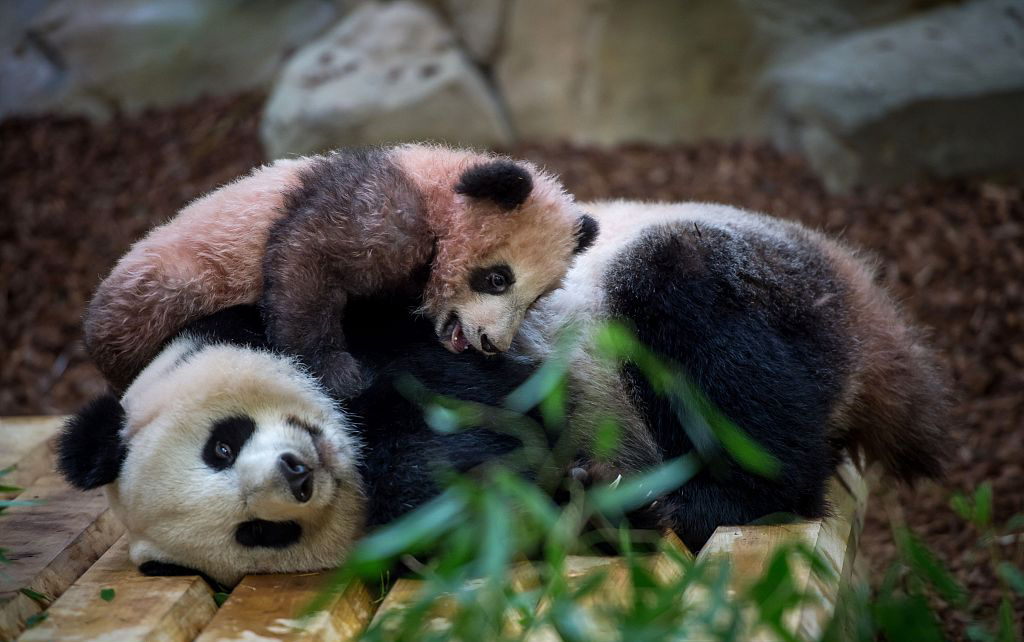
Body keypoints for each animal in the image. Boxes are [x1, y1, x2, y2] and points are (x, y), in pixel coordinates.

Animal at [58, 200, 950, 589]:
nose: (299, 475)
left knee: (702, 327)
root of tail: (860, 305)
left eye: (223, 442)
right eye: (258, 534)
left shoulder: (375, 325)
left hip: (756, 282)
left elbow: (494, 412)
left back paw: (694, 498)